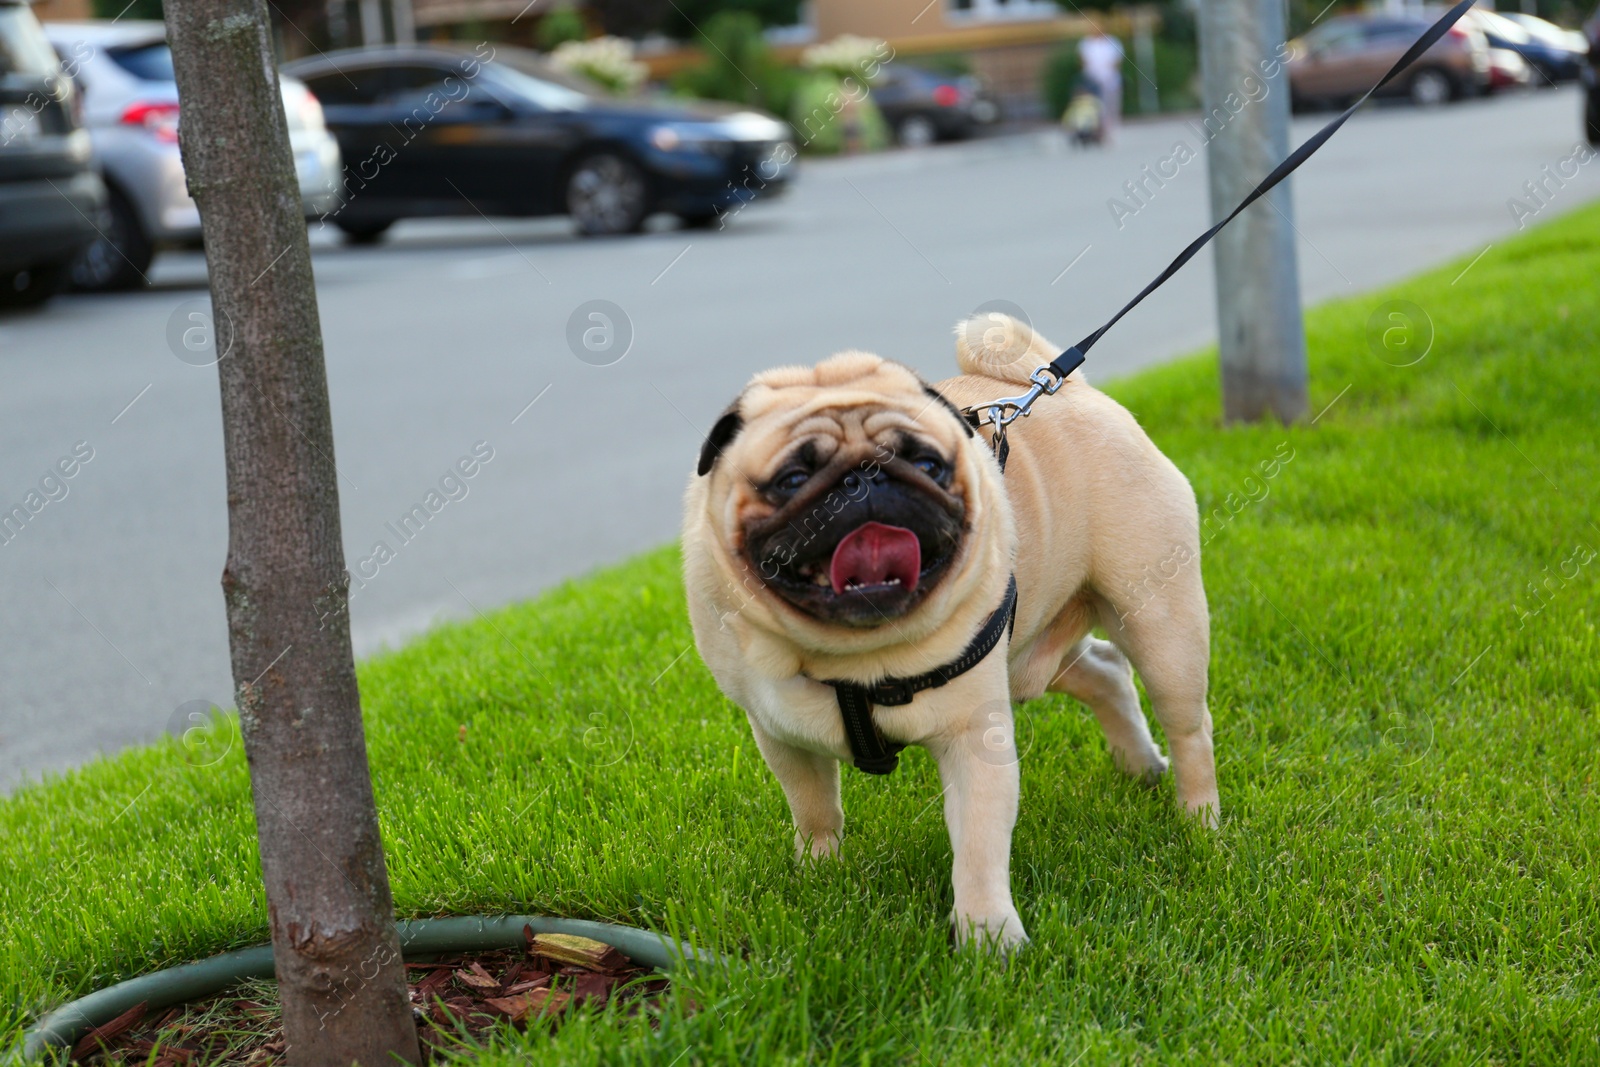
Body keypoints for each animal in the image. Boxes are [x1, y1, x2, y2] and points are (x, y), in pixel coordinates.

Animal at [681, 310, 1216, 953]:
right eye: (792, 478)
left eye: (928, 465)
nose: (866, 480)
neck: (857, 652)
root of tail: (1072, 390)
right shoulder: (779, 733)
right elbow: (813, 808)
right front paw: (819, 870)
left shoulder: (974, 738)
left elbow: (979, 848)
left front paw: (988, 938)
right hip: (1028, 652)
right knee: (1107, 673)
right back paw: (1139, 764)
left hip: (1161, 627)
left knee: (1189, 726)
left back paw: (1201, 820)